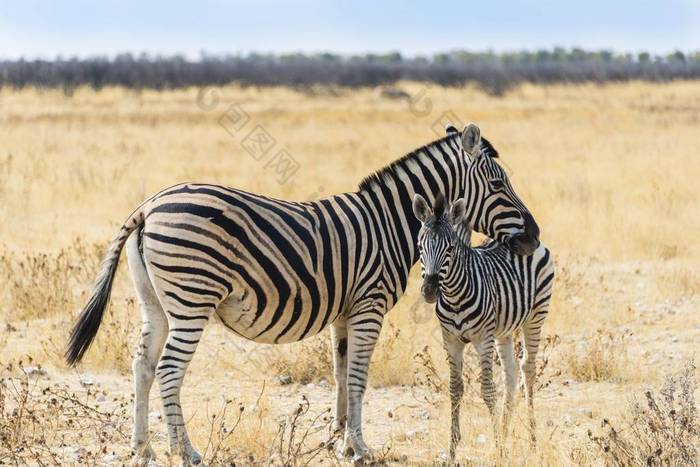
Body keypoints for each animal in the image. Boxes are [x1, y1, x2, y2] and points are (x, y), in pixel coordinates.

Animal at [65, 122, 540, 466]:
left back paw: (142, 449)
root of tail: (148, 205)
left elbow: (341, 373)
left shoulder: (346, 312)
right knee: (167, 369)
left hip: (156, 304)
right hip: (192, 300)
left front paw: (340, 441)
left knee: (143, 365)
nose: (534, 238)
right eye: (499, 185)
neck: (389, 225)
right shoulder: (369, 306)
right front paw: (360, 449)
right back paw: (185, 451)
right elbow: (359, 376)